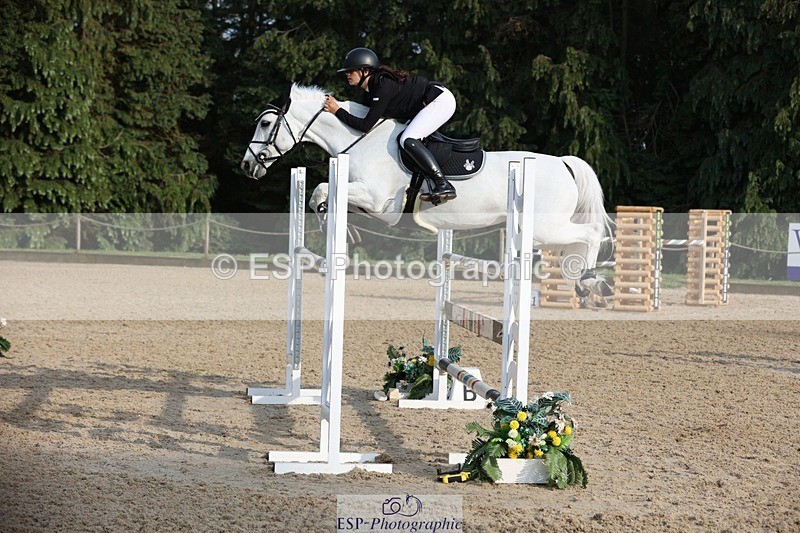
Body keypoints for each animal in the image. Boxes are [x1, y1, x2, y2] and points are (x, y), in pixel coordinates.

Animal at [240, 83, 614, 299]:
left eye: (265, 123)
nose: (247, 165)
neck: (362, 138)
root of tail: (564, 164)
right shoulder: (368, 200)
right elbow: (325, 194)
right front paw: (341, 228)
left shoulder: (379, 202)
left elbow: (320, 189)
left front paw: (327, 222)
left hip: (543, 227)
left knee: (592, 233)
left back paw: (590, 281)